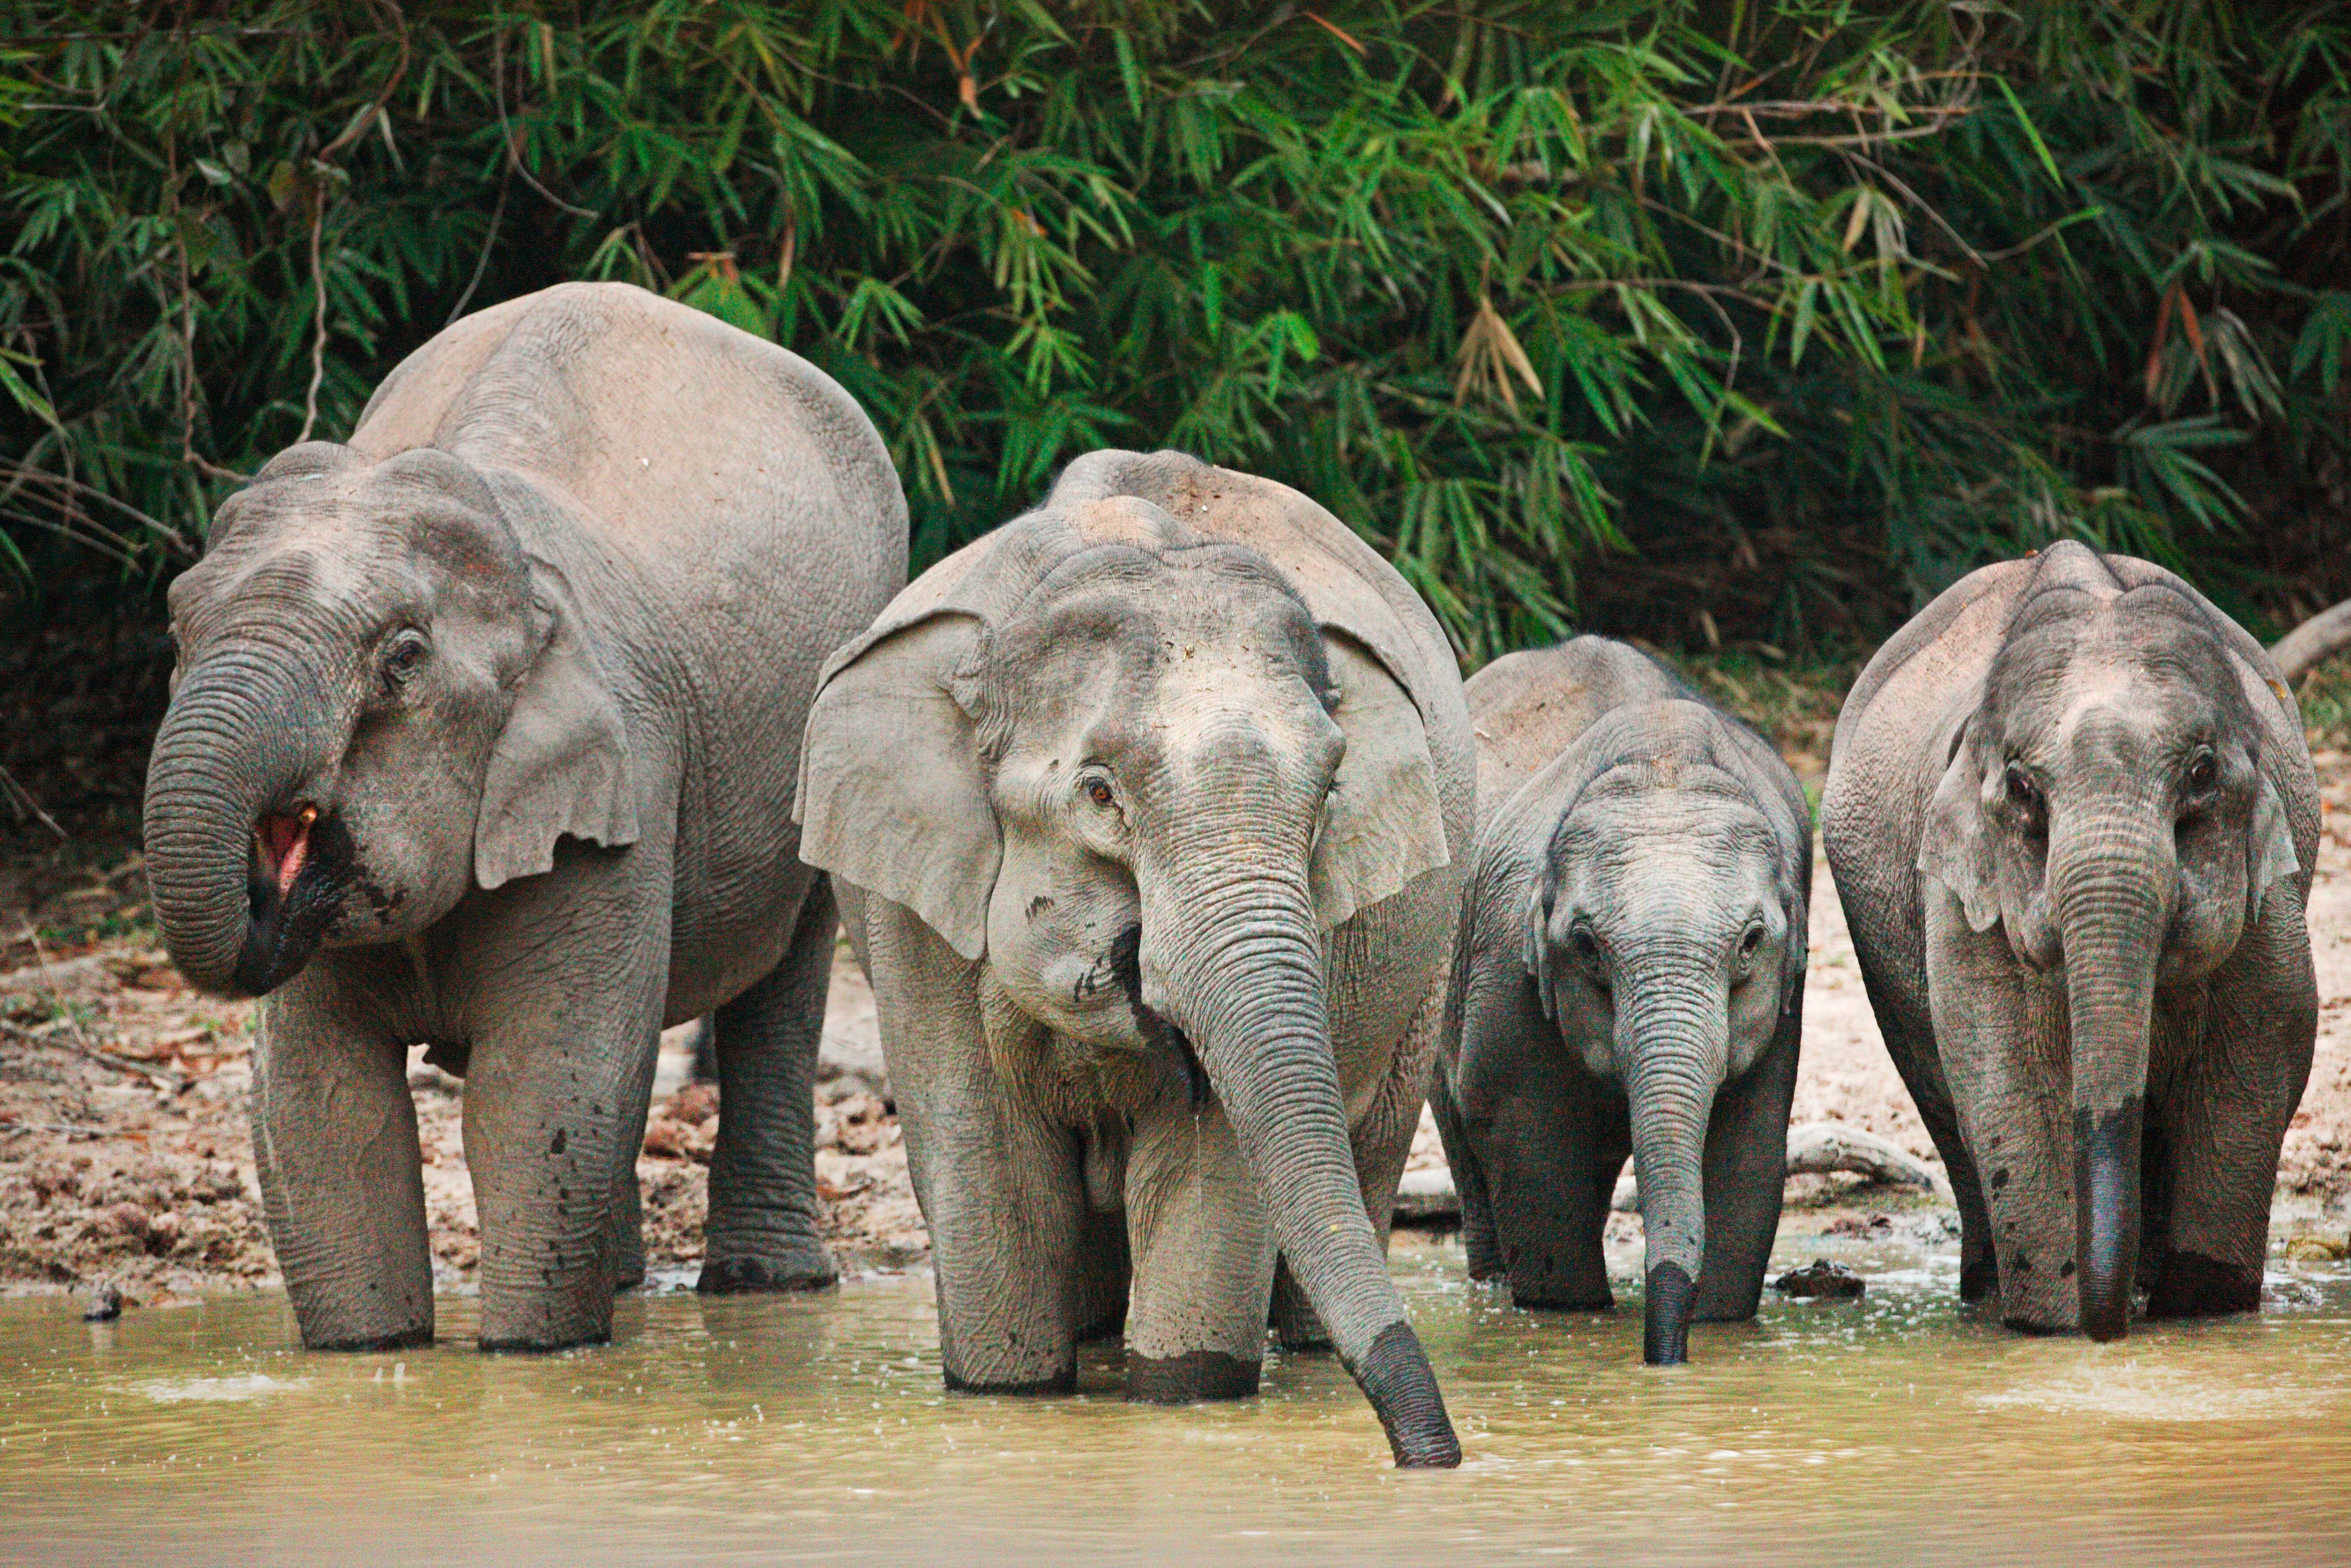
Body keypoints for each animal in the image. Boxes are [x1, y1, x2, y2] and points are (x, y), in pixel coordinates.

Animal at [140, 278, 907, 1354]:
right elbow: (320, 1100)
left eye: (402, 659)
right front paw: (370, 1355)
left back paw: (769, 1284)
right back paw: (625, 1282)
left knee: (781, 989)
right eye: (177, 632)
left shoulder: (621, 777)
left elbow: (544, 1079)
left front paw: (530, 1355)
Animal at [799, 447, 1476, 1467]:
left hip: (1422, 977)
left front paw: (1182, 1397)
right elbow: (995, 1174)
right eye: (1099, 792)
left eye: (1329, 794)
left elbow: (1206, 1183)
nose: (1436, 1460)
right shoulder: (912, 921)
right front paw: (1015, 1396)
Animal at [1420, 635, 1806, 1363]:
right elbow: (1529, 1137)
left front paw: (1716, 1323)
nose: (1663, 1359)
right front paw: (1567, 1313)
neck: (1662, 760)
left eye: (1750, 942)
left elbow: (1749, 1145)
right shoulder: (1503, 963)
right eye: (1586, 945)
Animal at [1815, 545, 2313, 1345]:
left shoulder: (2272, 888)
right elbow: (2005, 1075)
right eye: (2022, 789)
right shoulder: (1965, 895)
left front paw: (2202, 1311)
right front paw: (2057, 1323)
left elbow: (2261, 1057)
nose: (2109, 1331)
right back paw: (1990, 1289)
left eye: (2202, 774)